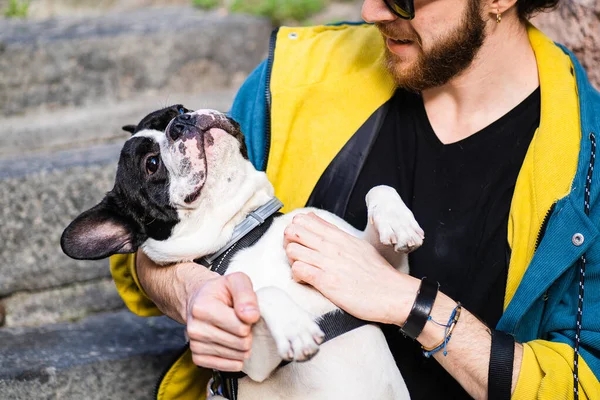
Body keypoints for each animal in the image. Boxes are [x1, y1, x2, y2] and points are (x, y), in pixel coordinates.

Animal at [62, 104, 426, 398]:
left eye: (178, 108)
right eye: (151, 164)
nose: (181, 122)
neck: (244, 229)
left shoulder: (382, 269)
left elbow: (379, 188)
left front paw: (399, 223)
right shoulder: (254, 361)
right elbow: (264, 292)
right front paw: (296, 328)